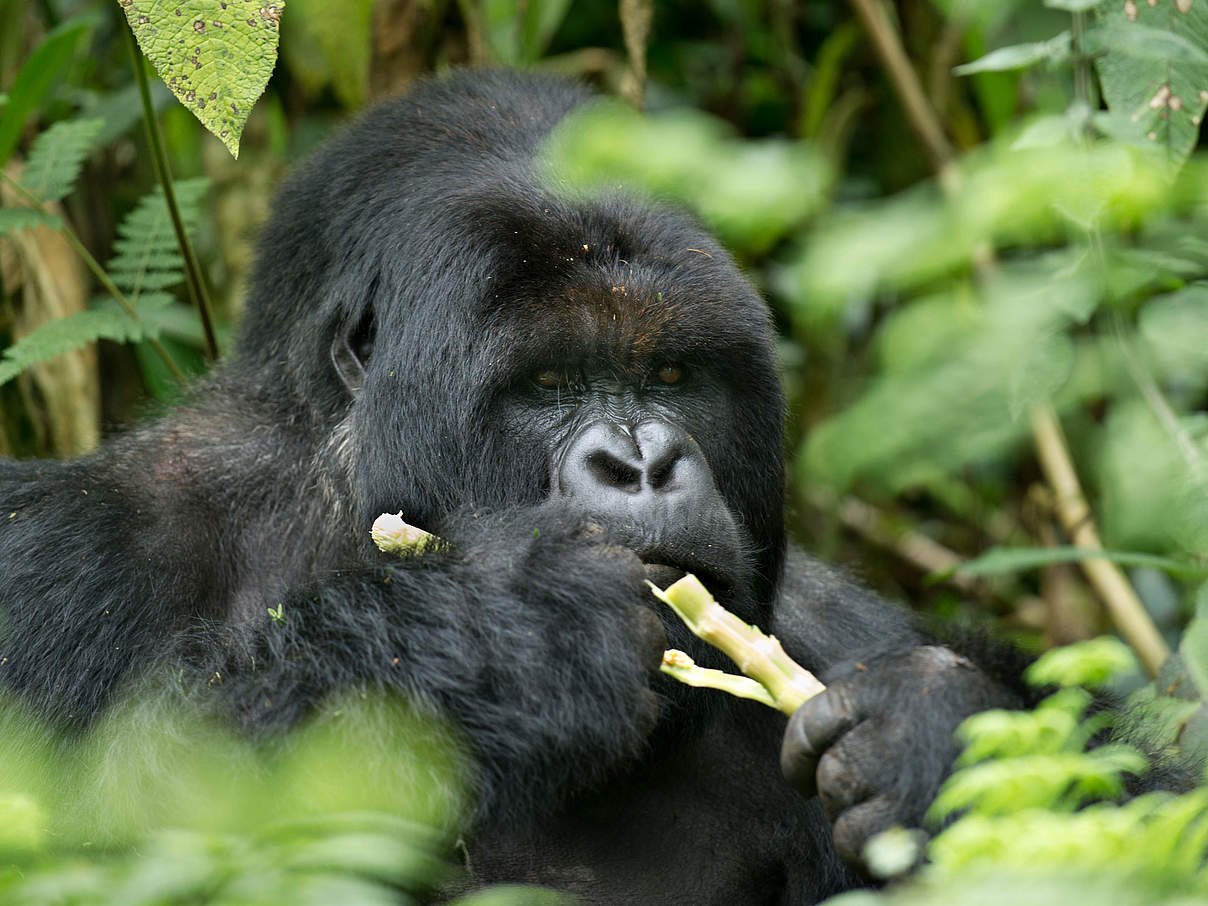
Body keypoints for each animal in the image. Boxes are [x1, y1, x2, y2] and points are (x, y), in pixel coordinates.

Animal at [0, 72, 1024, 906]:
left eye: (673, 375)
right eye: (548, 383)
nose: (642, 463)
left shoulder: (827, 627)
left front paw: (931, 735)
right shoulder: (67, 555)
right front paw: (504, 639)